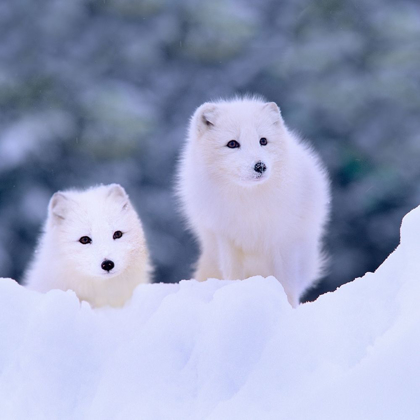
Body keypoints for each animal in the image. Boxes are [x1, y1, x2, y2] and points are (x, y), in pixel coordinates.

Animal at [176, 96, 330, 306]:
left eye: (263, 141)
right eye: (232, 144)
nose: (260, 166)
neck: (249, 202)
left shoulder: (283, 241)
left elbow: (286, 284)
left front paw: (288, 307)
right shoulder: (226, 238)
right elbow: (233, 275)